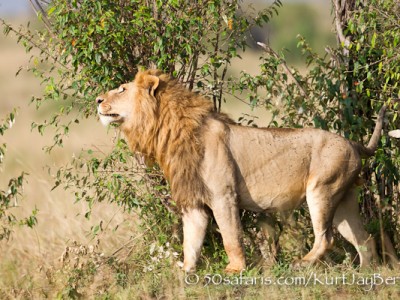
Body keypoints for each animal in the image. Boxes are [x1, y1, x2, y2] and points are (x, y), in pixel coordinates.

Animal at [96, 69, 388, 274]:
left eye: (121, 89)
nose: (98, 100)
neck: (169, 132)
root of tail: (352, 142)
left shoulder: (223, 196)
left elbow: (230, 236)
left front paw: (235, 269)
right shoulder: (194, 202)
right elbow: (191, 240)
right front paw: (185, 271)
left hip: (321, 190)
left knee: (326, 238)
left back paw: (302, 263)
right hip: (343, 200)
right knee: (364, 238)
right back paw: (367, 272)